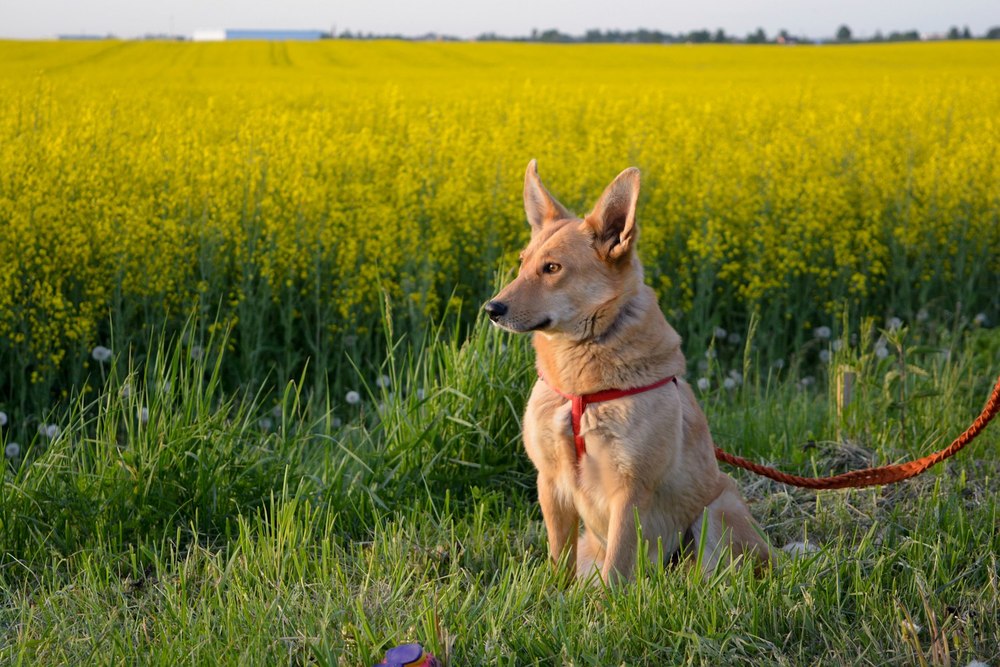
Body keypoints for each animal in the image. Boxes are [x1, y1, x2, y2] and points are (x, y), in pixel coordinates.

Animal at [484, 162, 772, 584]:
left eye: (552, 268)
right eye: (522, 263)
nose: (491, 309)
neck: (581, 385)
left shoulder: (630, 488)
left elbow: (618, 566)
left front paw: (606, 602)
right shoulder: (550, 482)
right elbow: (559, 560)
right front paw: (552, 595)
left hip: (719, 508)